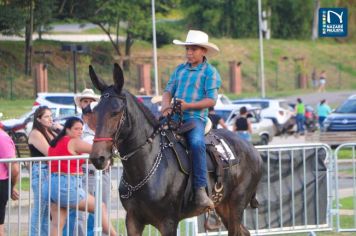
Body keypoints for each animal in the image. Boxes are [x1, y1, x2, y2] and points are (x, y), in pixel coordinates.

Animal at [88, 63, 262, 235]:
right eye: (94, 112)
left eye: (115, 112)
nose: (98, 157)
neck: (147, 166)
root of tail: (253, 150)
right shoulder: (132, 221)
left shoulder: (168, 222)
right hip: (223, 207)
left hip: (235, 205)